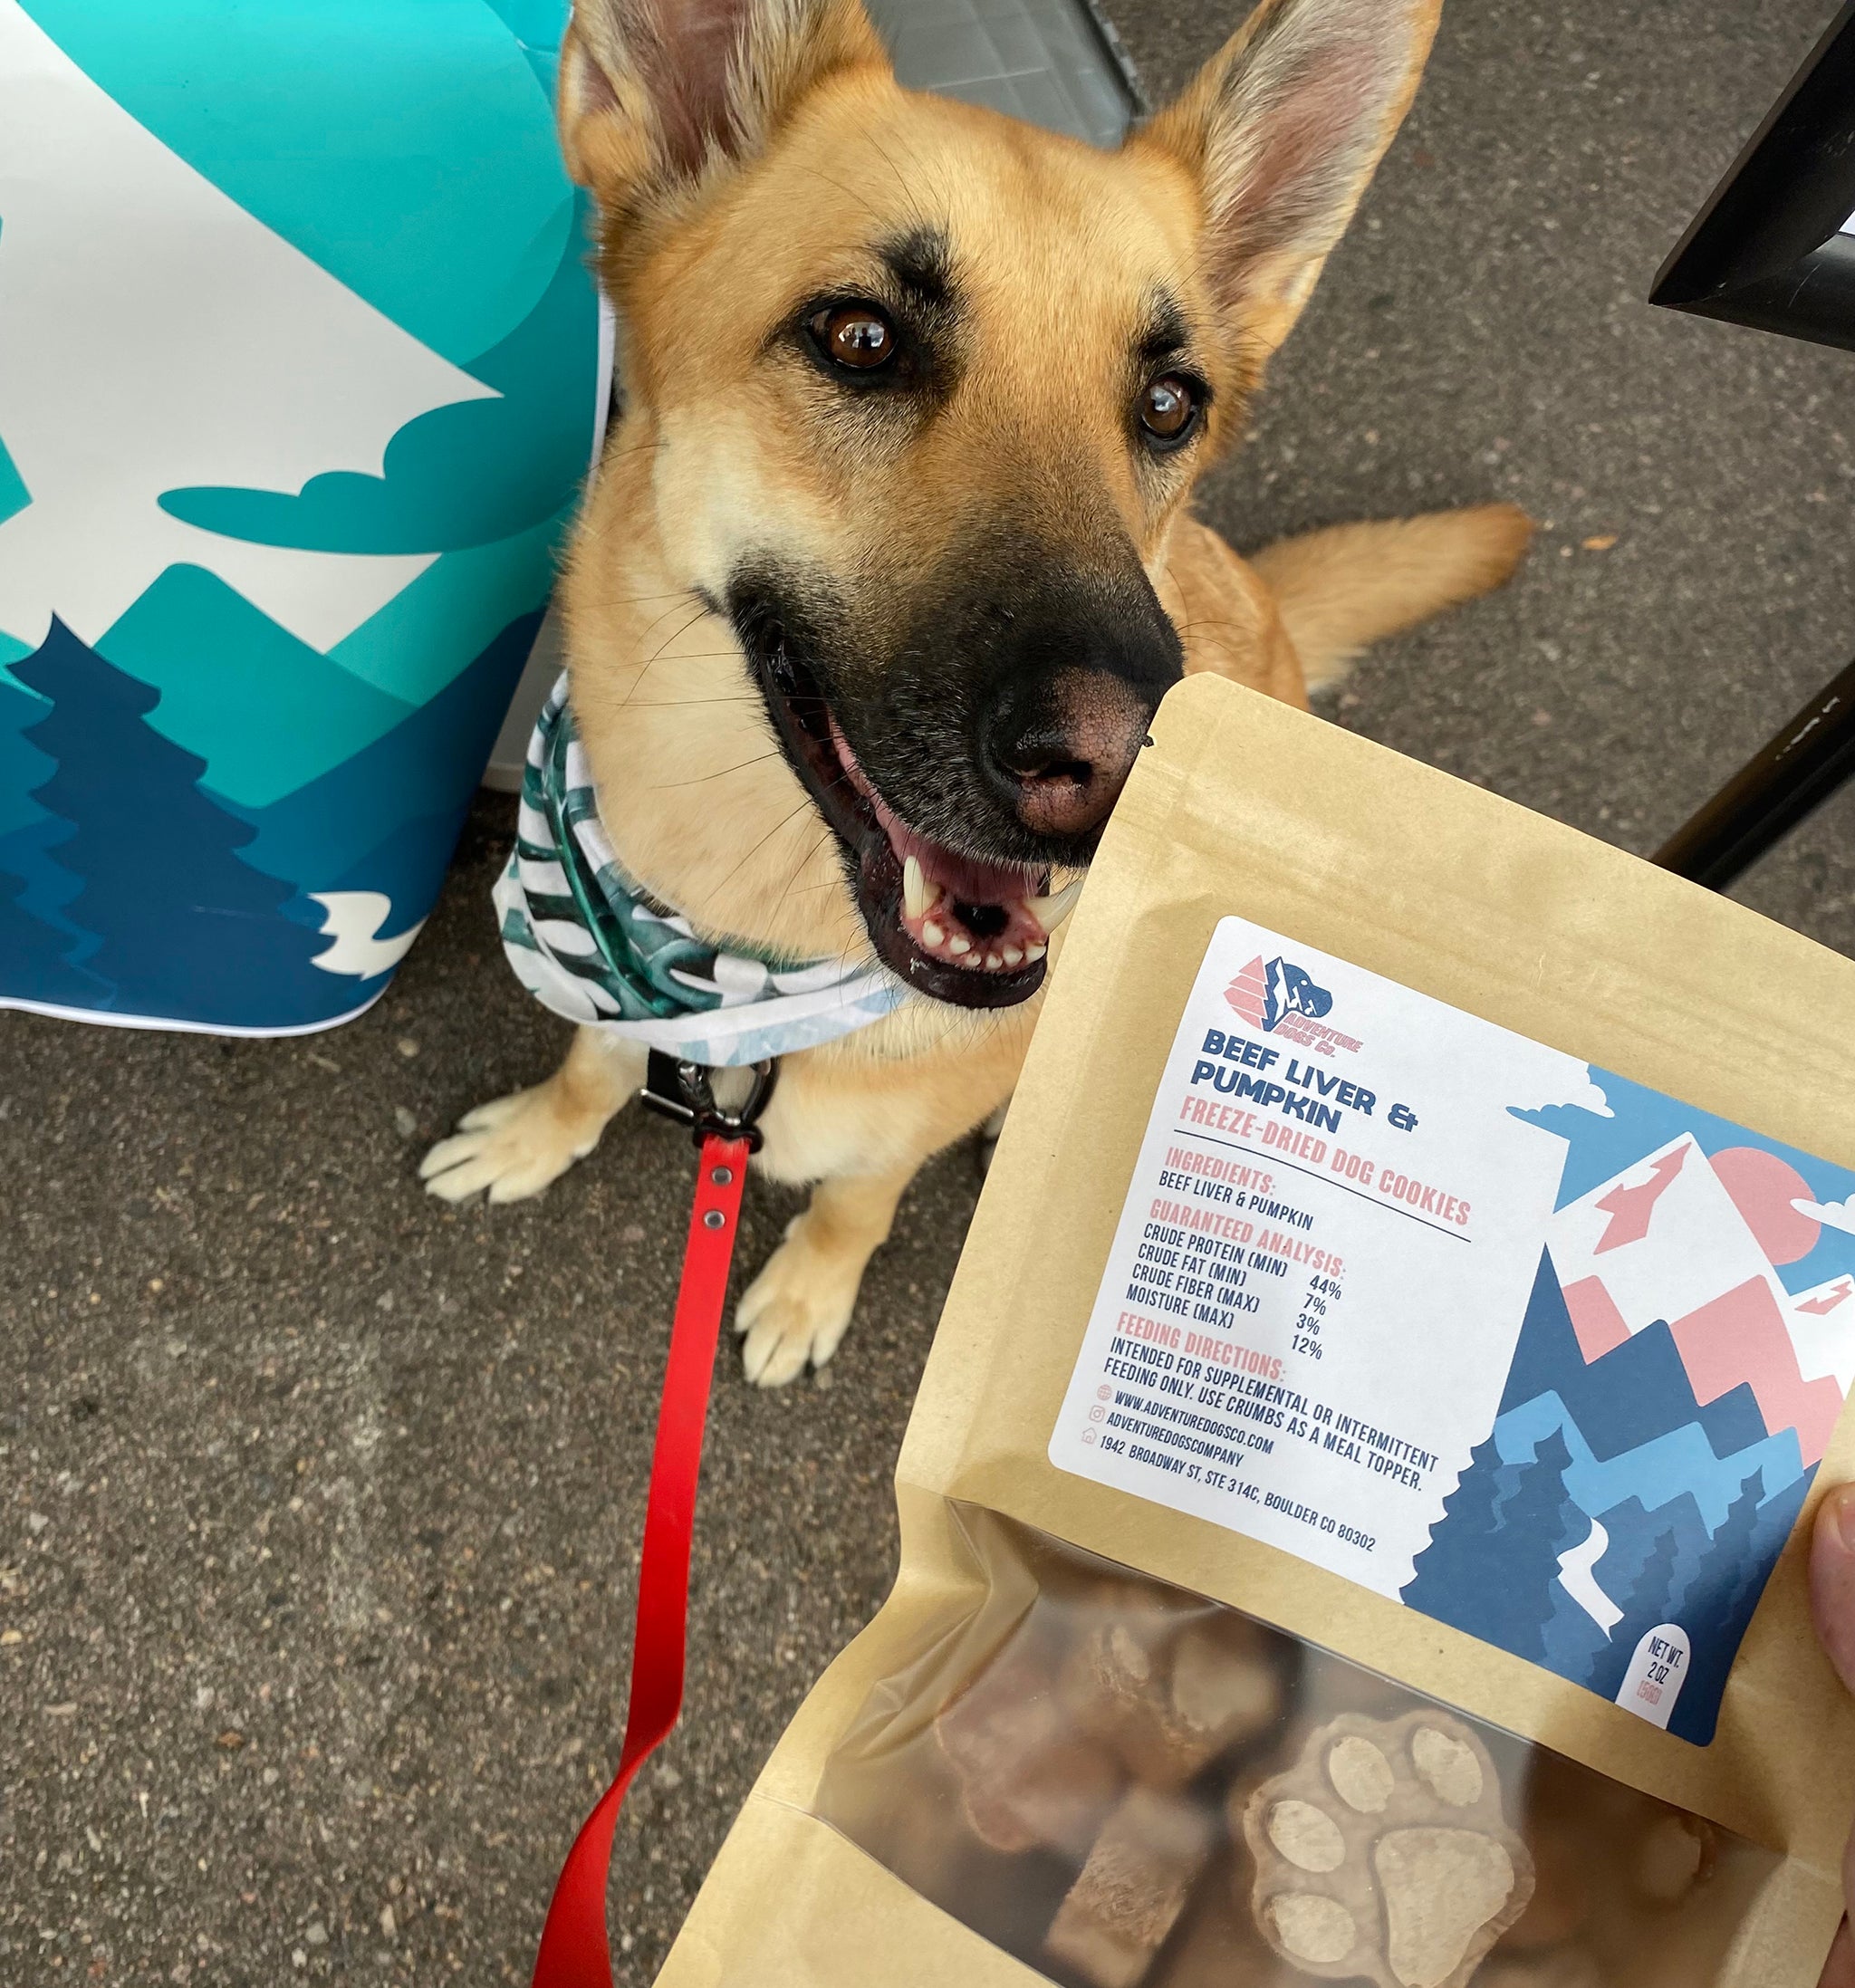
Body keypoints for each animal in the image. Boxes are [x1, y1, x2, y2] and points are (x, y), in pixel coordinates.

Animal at [427, 0, 1526, 1383]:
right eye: (861, 338)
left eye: (1167, 404)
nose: (1122, 764)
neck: (738, 944)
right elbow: (590, 1058)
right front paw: (538, 1131)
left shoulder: (890, 1139)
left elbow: (858, 1197)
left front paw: (809, 1289)